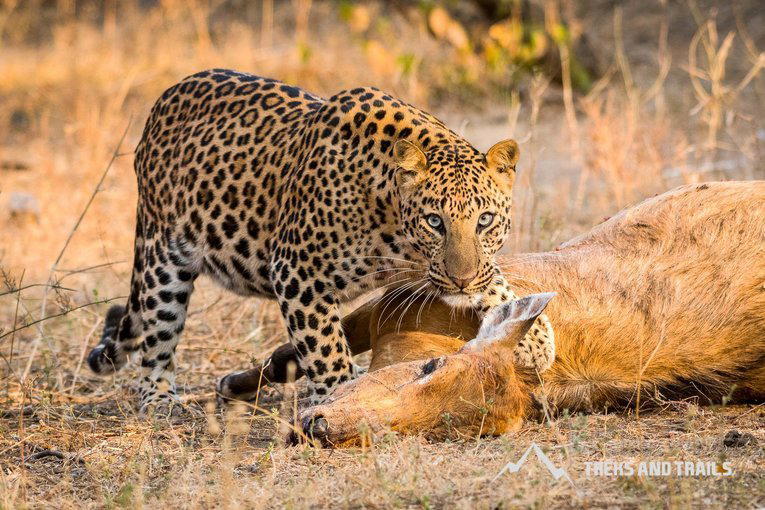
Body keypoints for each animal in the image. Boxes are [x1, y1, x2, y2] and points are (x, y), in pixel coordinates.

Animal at [86, 68, 555, 414]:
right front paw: (342, 398)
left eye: (485, 220)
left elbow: (495, 280)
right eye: (434, 222)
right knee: (156, 335)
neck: (392, 223)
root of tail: (165, 97)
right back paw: (159, 400)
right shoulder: (296, 272)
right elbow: (326, 350)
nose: (461, 281)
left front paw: (536, 337)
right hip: (162, 258)